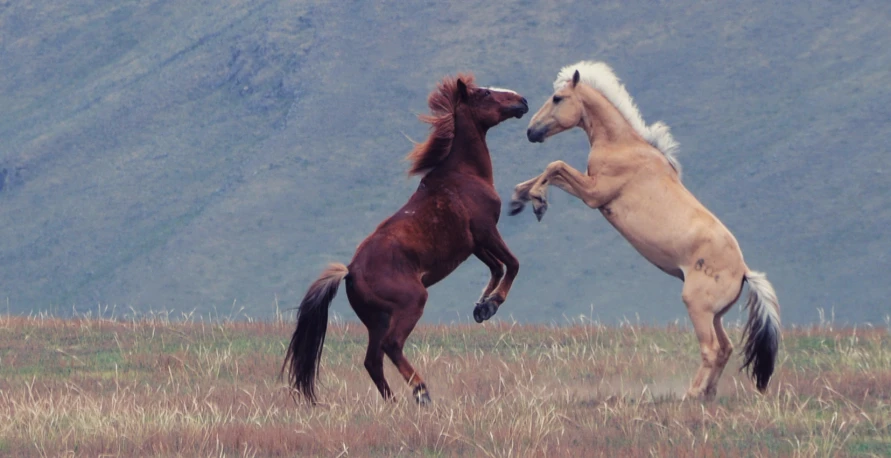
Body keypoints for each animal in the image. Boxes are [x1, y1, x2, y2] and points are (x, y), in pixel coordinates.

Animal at [282, 74, 528, 404]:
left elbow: (496, 267)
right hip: (411, 304)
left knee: (372, 360)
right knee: (392, 346)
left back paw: (394, 403)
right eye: (485, 93)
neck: (464, 174)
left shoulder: (473, 244)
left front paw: (482, 307)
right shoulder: (486, 230)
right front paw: (492, 304)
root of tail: (349, 272)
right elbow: (512, 264)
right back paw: (421, 392)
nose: (522, 102)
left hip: (377, 319)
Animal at [508, 60, 780, 400]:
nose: (531, 131)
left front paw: (538, 202)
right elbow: (546, 174)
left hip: (698, 308)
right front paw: (518, 199)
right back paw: (707, 392)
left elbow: (554, 167)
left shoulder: (594, 194)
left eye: (558, 98)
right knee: (726, 349)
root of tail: (744, 271)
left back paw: (691, 394)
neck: (622, 145)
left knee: (711, 349)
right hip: (715, 315)